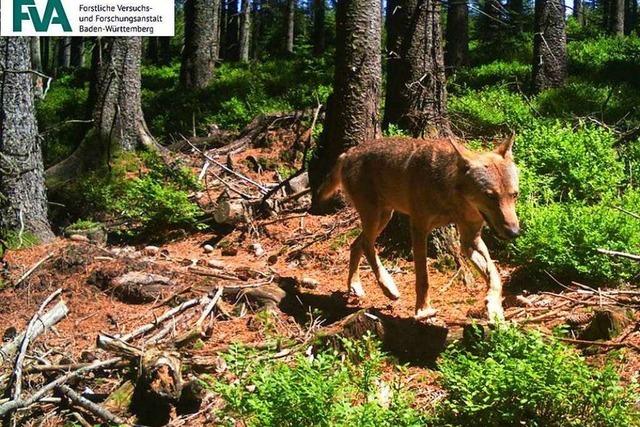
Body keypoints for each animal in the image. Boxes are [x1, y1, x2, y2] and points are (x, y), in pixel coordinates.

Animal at [320, 136, 520, 320]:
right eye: (490, 196)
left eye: (514, 195)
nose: (514, 232)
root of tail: (348, 153)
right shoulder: (419, 228)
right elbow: (423, 277)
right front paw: (423, 310)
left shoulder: (470, 239)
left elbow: (495, 276)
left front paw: (494, 308)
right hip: (375, 217)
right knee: (367, 246)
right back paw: (388, 286)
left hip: (384, 217)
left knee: (356, 244)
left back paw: (355, 286)